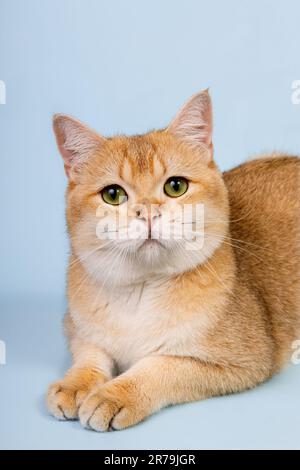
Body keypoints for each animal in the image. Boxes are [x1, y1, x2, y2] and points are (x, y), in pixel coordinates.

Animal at [47, 90, 300, 432]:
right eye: (113, 195)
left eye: (175, 186)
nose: (148, 213)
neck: (141, 290)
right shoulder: (75, 328)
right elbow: (90, 354)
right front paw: (75, 384)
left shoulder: (243, 361)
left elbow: (159, 367)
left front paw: (114, 394)